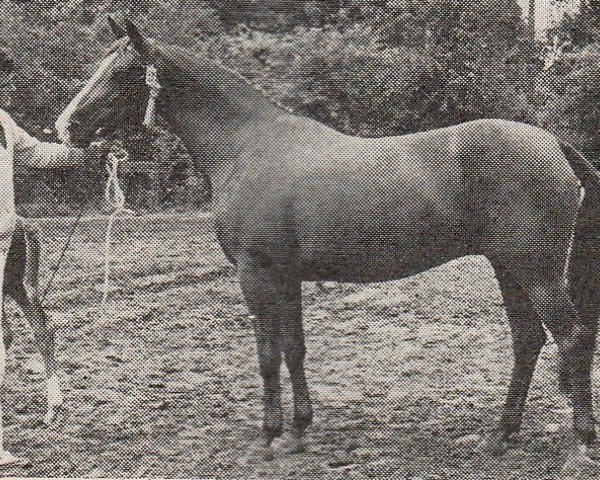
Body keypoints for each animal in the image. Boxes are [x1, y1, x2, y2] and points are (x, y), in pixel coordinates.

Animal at [55, 17, 600, 462]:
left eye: (123, 72)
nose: (66, 125)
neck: (246, 146)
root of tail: (552, 143)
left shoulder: (258, 274)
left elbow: (268, 353)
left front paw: (270, 437)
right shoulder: (288, 276)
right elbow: (293, 348)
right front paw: (299, 430)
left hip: (534, 270)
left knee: (571, 337)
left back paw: (580, 441)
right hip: (508, 267)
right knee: (528, 340)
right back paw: (500, 435)